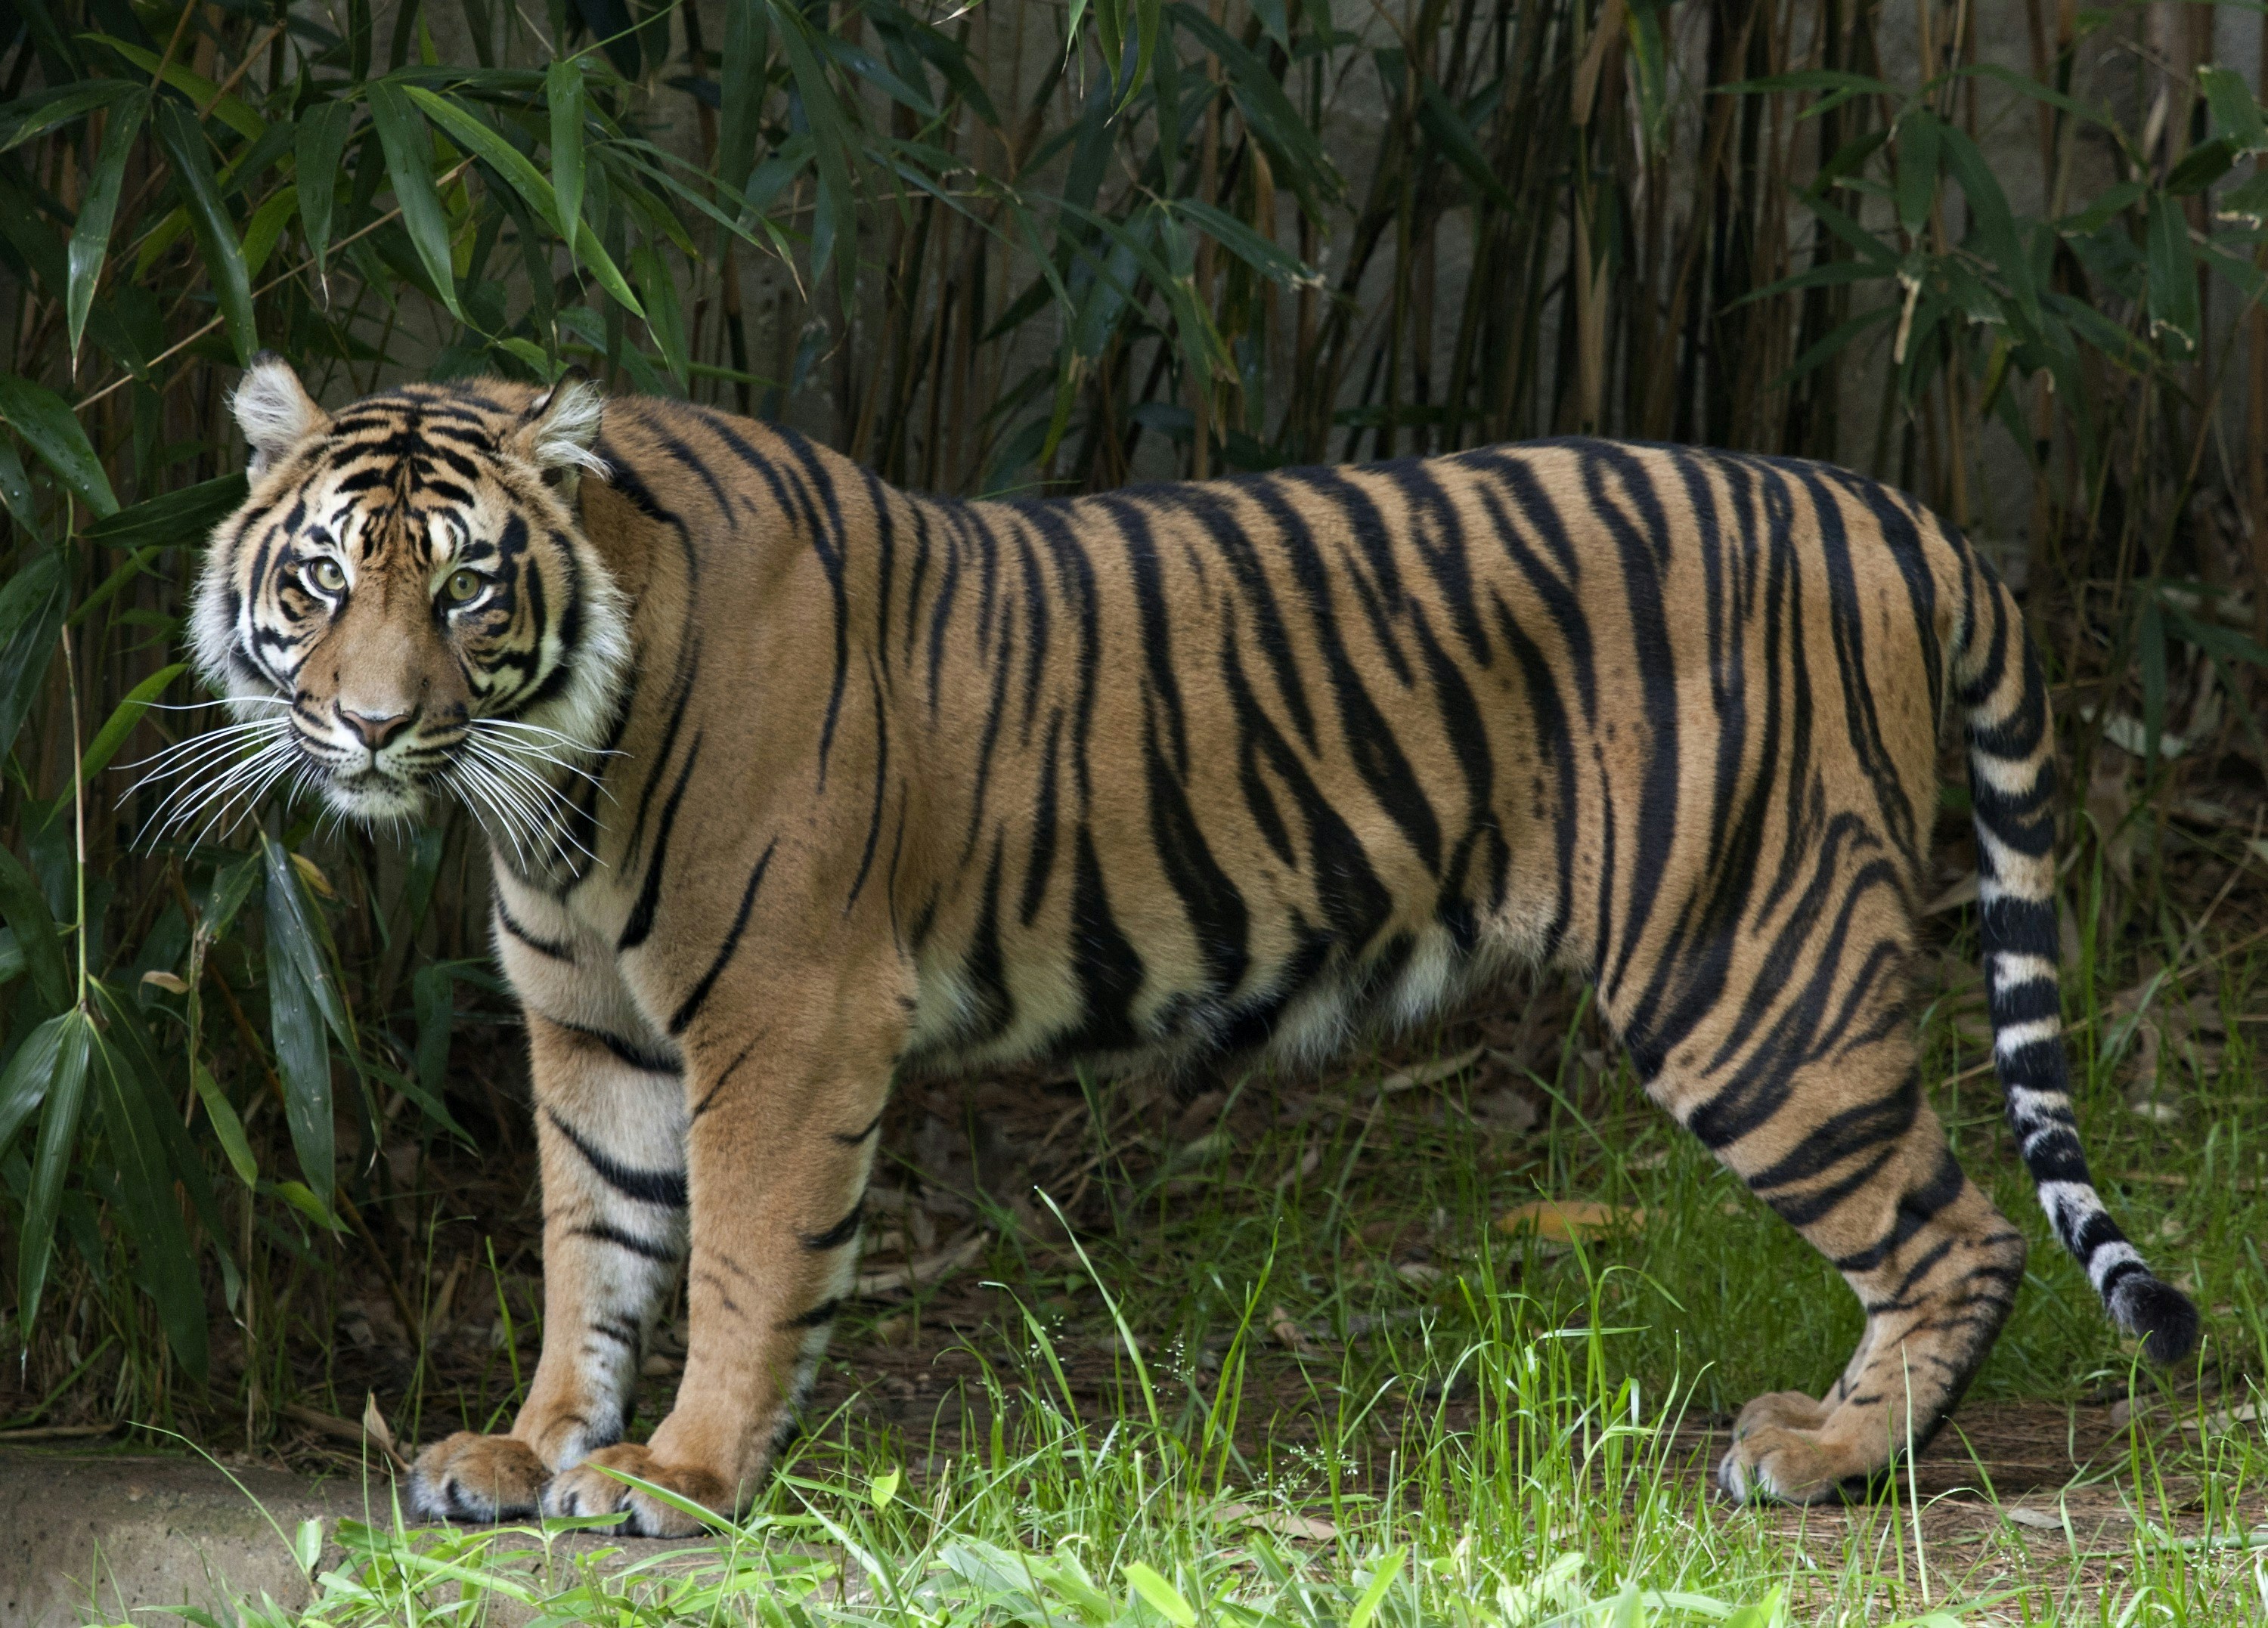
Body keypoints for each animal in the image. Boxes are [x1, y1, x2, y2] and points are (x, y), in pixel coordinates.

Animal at [188, 353, 2195, 1537]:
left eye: (467, 586)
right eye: (324, 579)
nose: (370, 725)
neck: (548, 777)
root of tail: (1890, 506)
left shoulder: (784, 1019)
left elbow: (745, 1259)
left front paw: (675, 1476)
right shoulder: (592, 1029)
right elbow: (589, 1255)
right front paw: (527, 1451)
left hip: (1747, 965)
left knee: (1953, 1231)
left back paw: (1832, 1456)